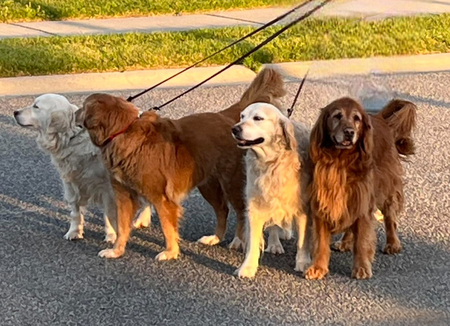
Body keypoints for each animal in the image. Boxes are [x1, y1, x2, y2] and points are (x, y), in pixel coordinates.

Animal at [13, 93, 151, 242]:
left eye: (36, 106)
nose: (15, 112)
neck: (72, 137)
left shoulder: (107, 187)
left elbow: (109, 213)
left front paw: (111, 234)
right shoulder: (71, 183)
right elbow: (76, 211)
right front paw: (74, 231)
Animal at [232, 102, 310, 278]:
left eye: (258, 118)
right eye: (242, 116)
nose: (234, 129)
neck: (271, 162)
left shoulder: (302, 207)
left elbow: (303, 240)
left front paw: (303, 263)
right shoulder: (256, 204)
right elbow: (253, 241)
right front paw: (247, 267)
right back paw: (275, 244)